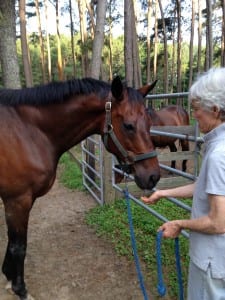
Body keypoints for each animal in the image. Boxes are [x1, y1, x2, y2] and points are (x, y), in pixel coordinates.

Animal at [0, 76, 160, 298]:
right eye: (128, 126)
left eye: (150, 122)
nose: (153, 177)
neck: (28, 131)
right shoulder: (17, 200)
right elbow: (18, 246)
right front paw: (20, 289)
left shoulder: (21, 201)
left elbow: (12, 241)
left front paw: (8, 275)